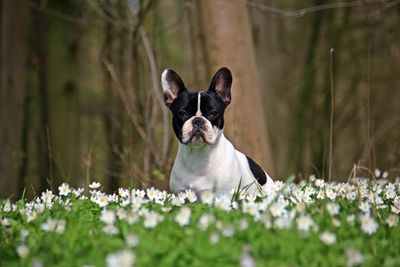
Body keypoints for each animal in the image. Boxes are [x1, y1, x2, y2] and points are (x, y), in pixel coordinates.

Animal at [161, 67, 274, 197]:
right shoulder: (180, 194)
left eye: (213, 113)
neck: (199, 154)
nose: (198, 120)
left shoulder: (225, 195)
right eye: (183, 113)